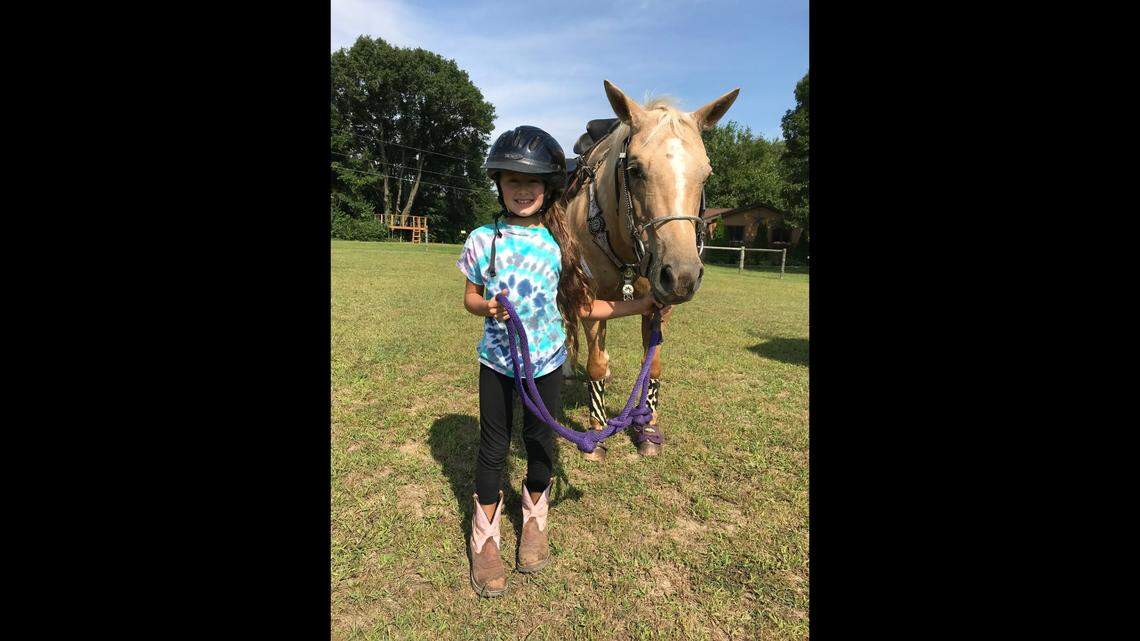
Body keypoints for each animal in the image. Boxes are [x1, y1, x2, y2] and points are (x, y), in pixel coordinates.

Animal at [560, 80, 739, 460]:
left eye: (706, 174)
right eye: (635, 170)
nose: (682, 275)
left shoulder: (659, 305)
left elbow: (652, 367)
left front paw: (648, 428)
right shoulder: (590, 299)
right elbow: (595, 363)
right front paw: (596, 433)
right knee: (569, 328)